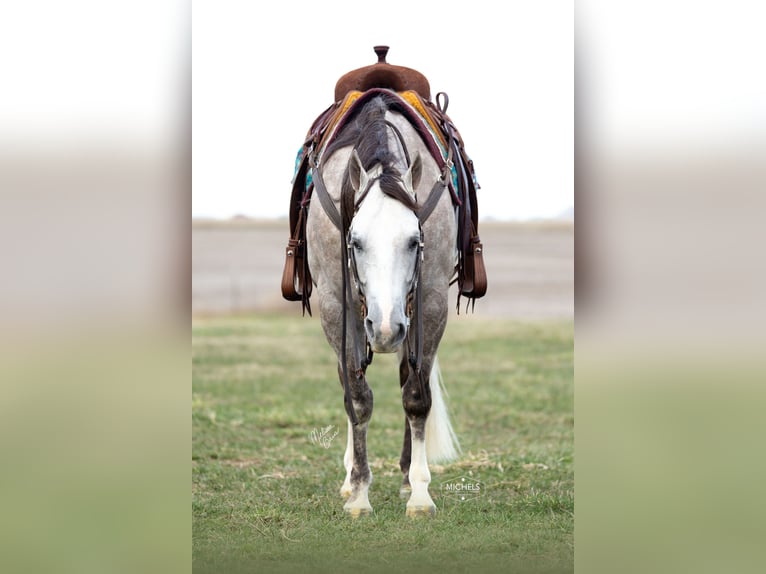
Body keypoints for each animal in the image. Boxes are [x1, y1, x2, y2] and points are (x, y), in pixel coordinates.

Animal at [306, 93, 462, 516]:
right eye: (356, 242)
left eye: (413, 240)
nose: (387, 329)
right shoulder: (335, 305)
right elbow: (357, 398)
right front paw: (359, 492)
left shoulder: (430, 304)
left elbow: (416, 397)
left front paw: (420, 493)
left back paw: (408, 478)